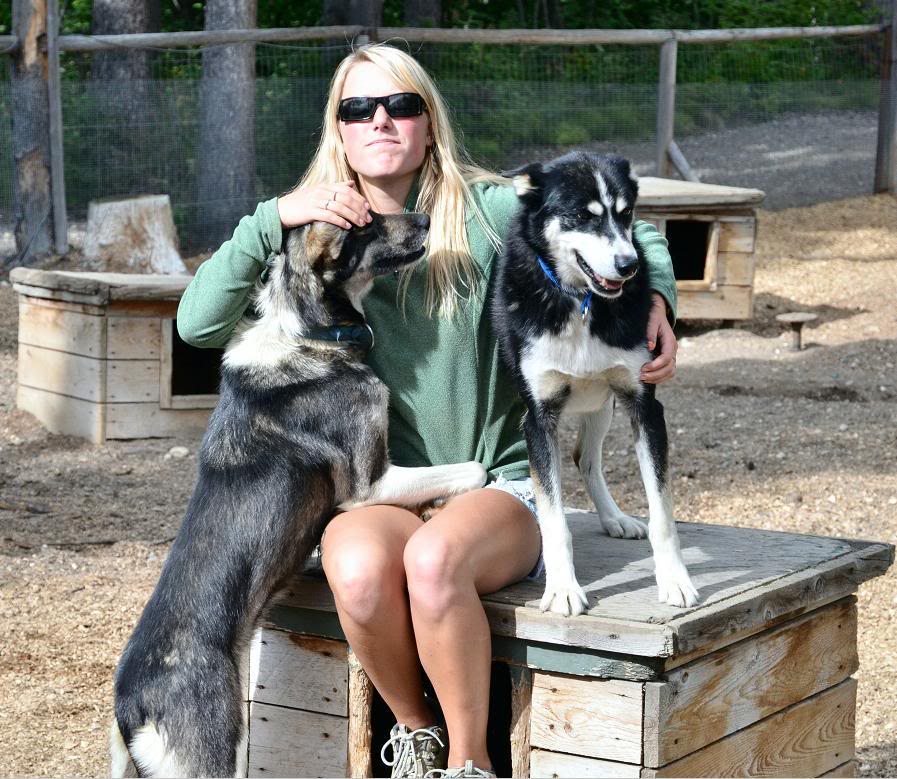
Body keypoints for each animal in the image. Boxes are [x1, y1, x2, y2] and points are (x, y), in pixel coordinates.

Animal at [110, 212, 487, 777]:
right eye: (368, 223)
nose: (423, 219)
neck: (307, 332)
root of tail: (129, 704)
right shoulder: (370, 483)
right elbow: (473, 471)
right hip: (218, 753)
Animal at [491, 151, 699, 617]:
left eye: (626, 214)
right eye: (582, 217)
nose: (630, 264)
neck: (580, 302)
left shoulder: (645, 407)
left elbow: (663, 514)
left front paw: (674, 580)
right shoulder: (538, 420)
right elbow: (554, 521)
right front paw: (563, 589)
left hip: (604, 404)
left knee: (586, 458)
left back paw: (615, 518)